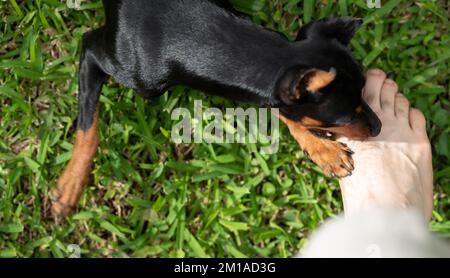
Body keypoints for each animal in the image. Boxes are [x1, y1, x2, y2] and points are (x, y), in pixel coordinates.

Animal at [53, 0, 384, 216]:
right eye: (343, 117)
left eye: (364, 93)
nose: (379, 127)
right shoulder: (96, 53)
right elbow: (88, 127)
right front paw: (71, 186)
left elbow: (283, 110)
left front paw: (322, 151)